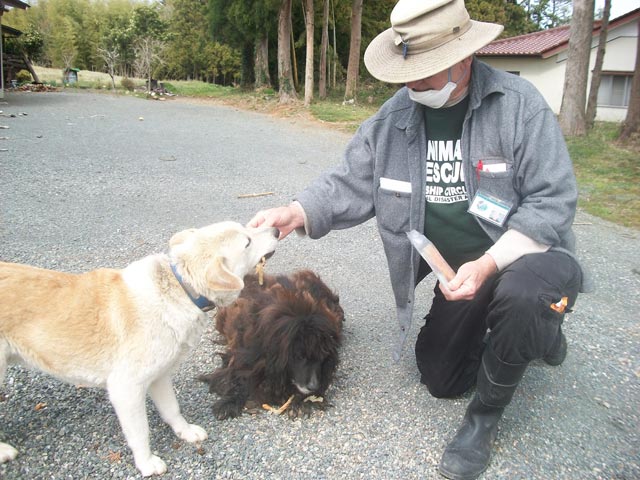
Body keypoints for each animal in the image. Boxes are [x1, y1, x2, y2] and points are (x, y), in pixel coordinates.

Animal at [0, 222, 280, 476]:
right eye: (247, 241)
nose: (277, 230)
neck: (181, 288)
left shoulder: (160, 376)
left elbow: (172, 409)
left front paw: (185, 431)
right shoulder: (126, 389)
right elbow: (140, 432)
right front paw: (146, 463)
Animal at [200, 268, 342, 418]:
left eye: (323, 357)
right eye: (299, 356)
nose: (314, 387)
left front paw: (301, 401)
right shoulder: (242, 354)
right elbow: (236, 376)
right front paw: (229, 401)